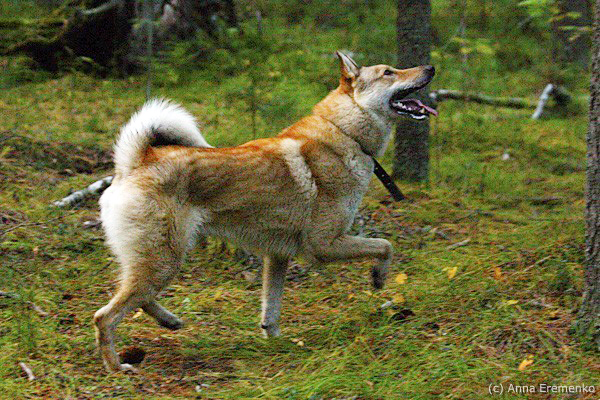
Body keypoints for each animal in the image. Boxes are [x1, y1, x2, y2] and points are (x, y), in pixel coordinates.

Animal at [94, 51, 436, 372]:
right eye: (388, 72)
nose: (430, 68)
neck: (344, 132)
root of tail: (136, 162)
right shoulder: (324, 245)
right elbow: (385, 246)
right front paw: (378, 278)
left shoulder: (278, 256)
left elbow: (271, 308)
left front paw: (276, 342)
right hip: (164, 260)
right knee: (105, 316)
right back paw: (117, 367)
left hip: (158, 261)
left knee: (139, 298)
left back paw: (169, 321)